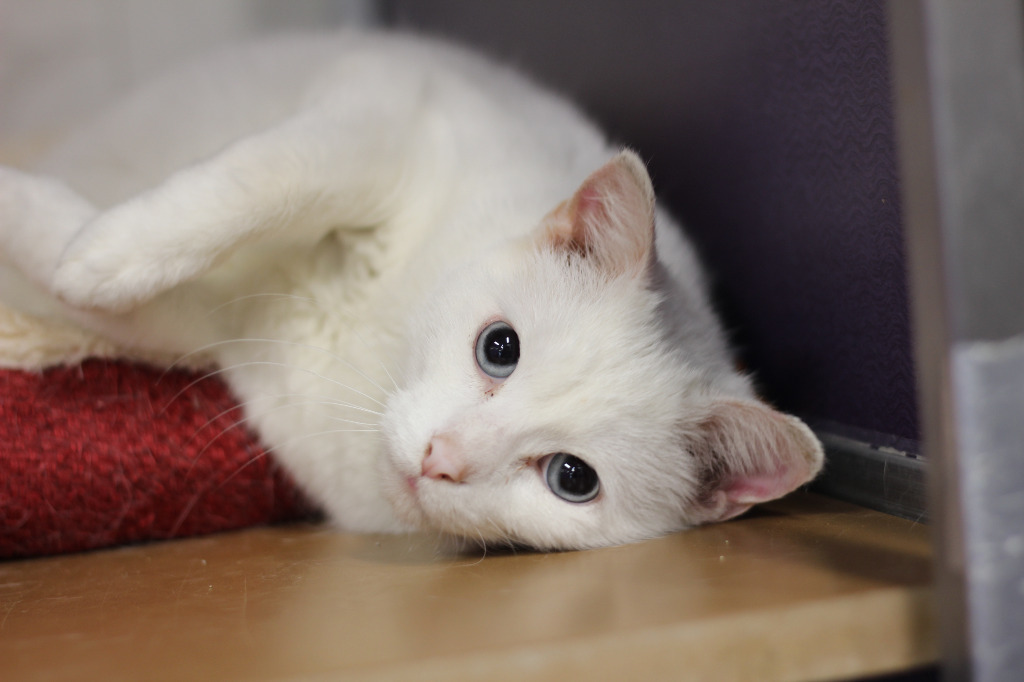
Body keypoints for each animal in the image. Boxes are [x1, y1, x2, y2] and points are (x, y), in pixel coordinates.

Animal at [0, 30, 819, 548]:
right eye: (500, 348)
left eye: (571, 478)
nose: (440, 458)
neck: (369, 343)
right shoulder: (385, 110)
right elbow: (255, 183)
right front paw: (99, 249)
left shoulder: (211, 327)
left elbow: (106, 300)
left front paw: (44, 236)